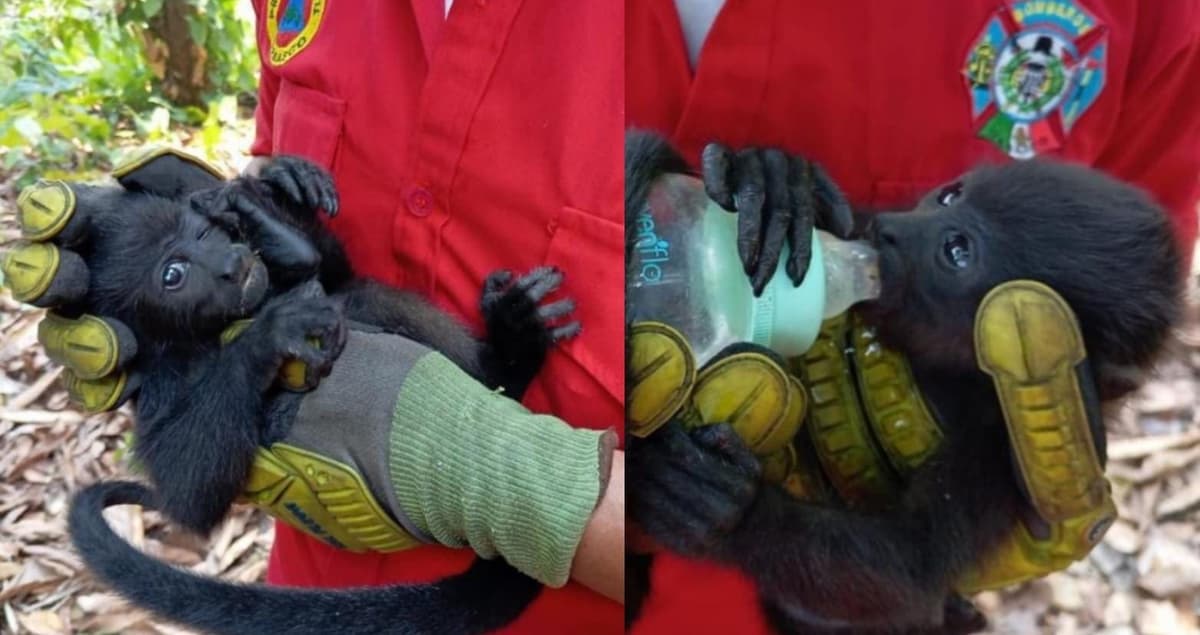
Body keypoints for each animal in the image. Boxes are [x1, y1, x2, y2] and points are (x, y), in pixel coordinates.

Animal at [64, 155, 581, 634]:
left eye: (206, 233)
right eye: (174, 273)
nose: (230, 265)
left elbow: (334, 276)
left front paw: (273, 196)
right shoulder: (162, 378)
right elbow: (188, 492)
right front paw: (269, 334)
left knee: (364, 296)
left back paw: (510, 347)